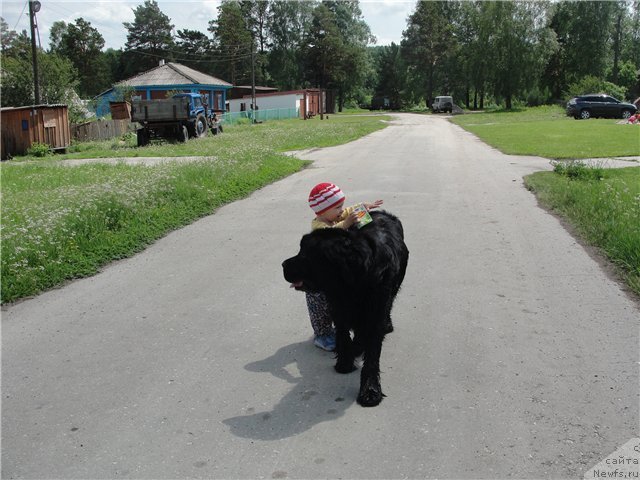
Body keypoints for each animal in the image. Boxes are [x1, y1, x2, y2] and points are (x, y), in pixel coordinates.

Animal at [282, 212, 410, 406]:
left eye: (305, 254)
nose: (283, 264)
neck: (352, 283)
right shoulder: (338, 305)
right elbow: (343, 334)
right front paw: (344, 362)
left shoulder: (376, 308)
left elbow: (372, 354)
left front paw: (370, 390)